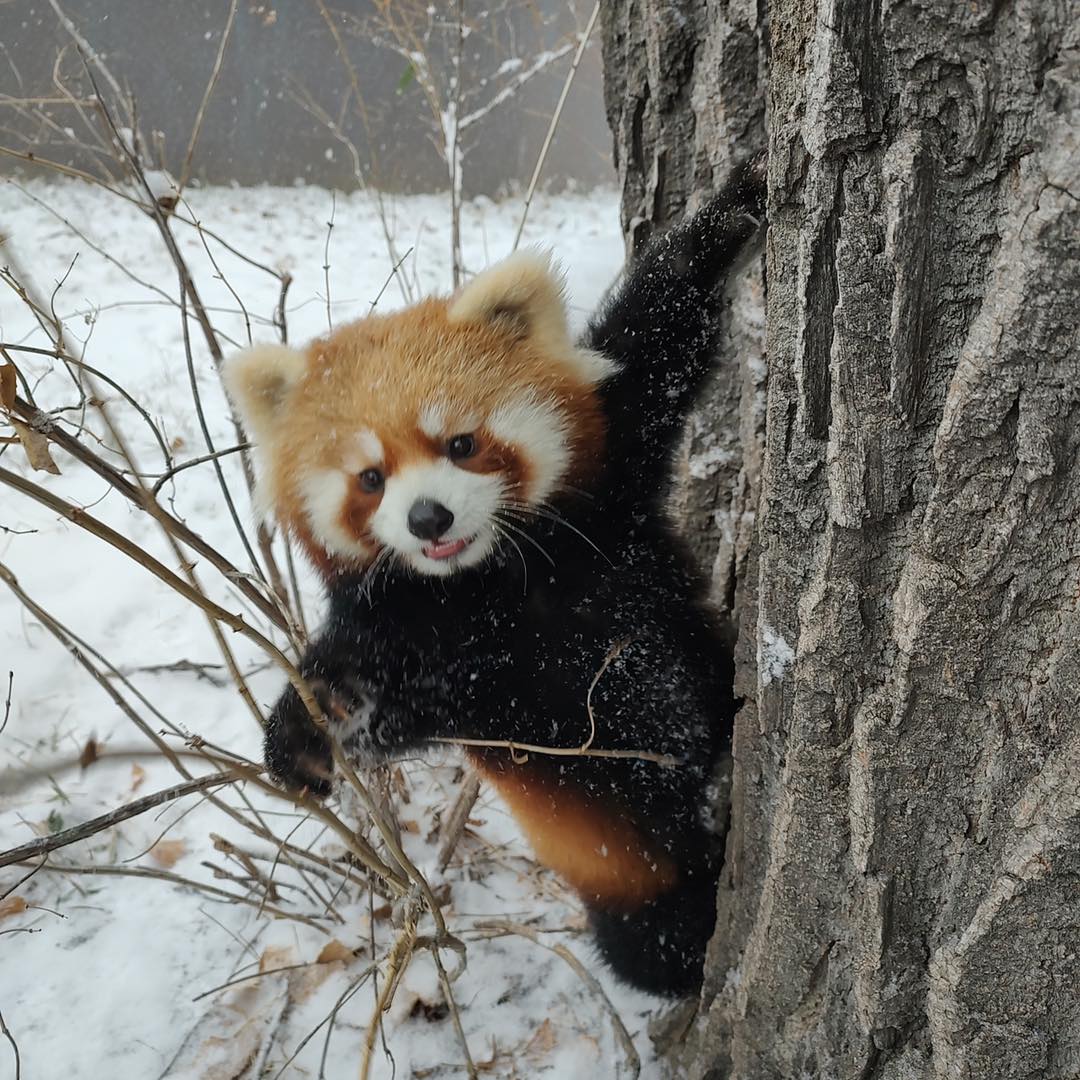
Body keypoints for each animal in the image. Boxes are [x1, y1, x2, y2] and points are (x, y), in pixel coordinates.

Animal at [224, 160, 765, 996]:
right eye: (370, 479)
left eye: (461, 443)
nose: (428, 518)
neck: (494, 583)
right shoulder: (417, 636)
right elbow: (403, 700)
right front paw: (305, 733)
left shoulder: (608, 489)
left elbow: (654, 340)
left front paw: (728, 212)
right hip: (629, 874)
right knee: (654, 940)